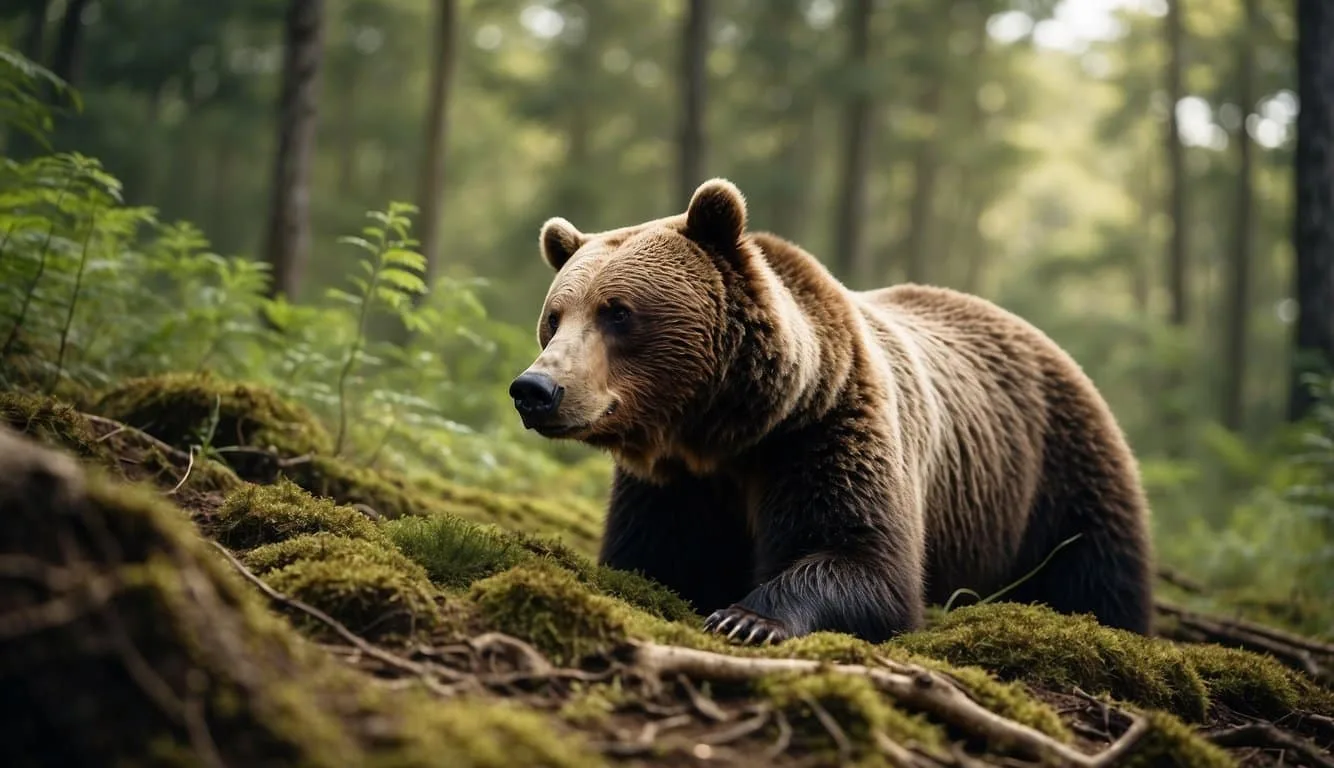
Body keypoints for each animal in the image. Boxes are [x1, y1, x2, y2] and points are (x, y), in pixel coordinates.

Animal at [508, 177, 1154, 646]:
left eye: (617, 312)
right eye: (555, 316)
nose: (535, 388)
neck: (726, 431)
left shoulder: (829, 431)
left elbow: (867, 561)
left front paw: (748, 617)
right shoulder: (675, 486)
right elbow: (651, 556)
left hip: (1062, 475)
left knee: (1098, 573)